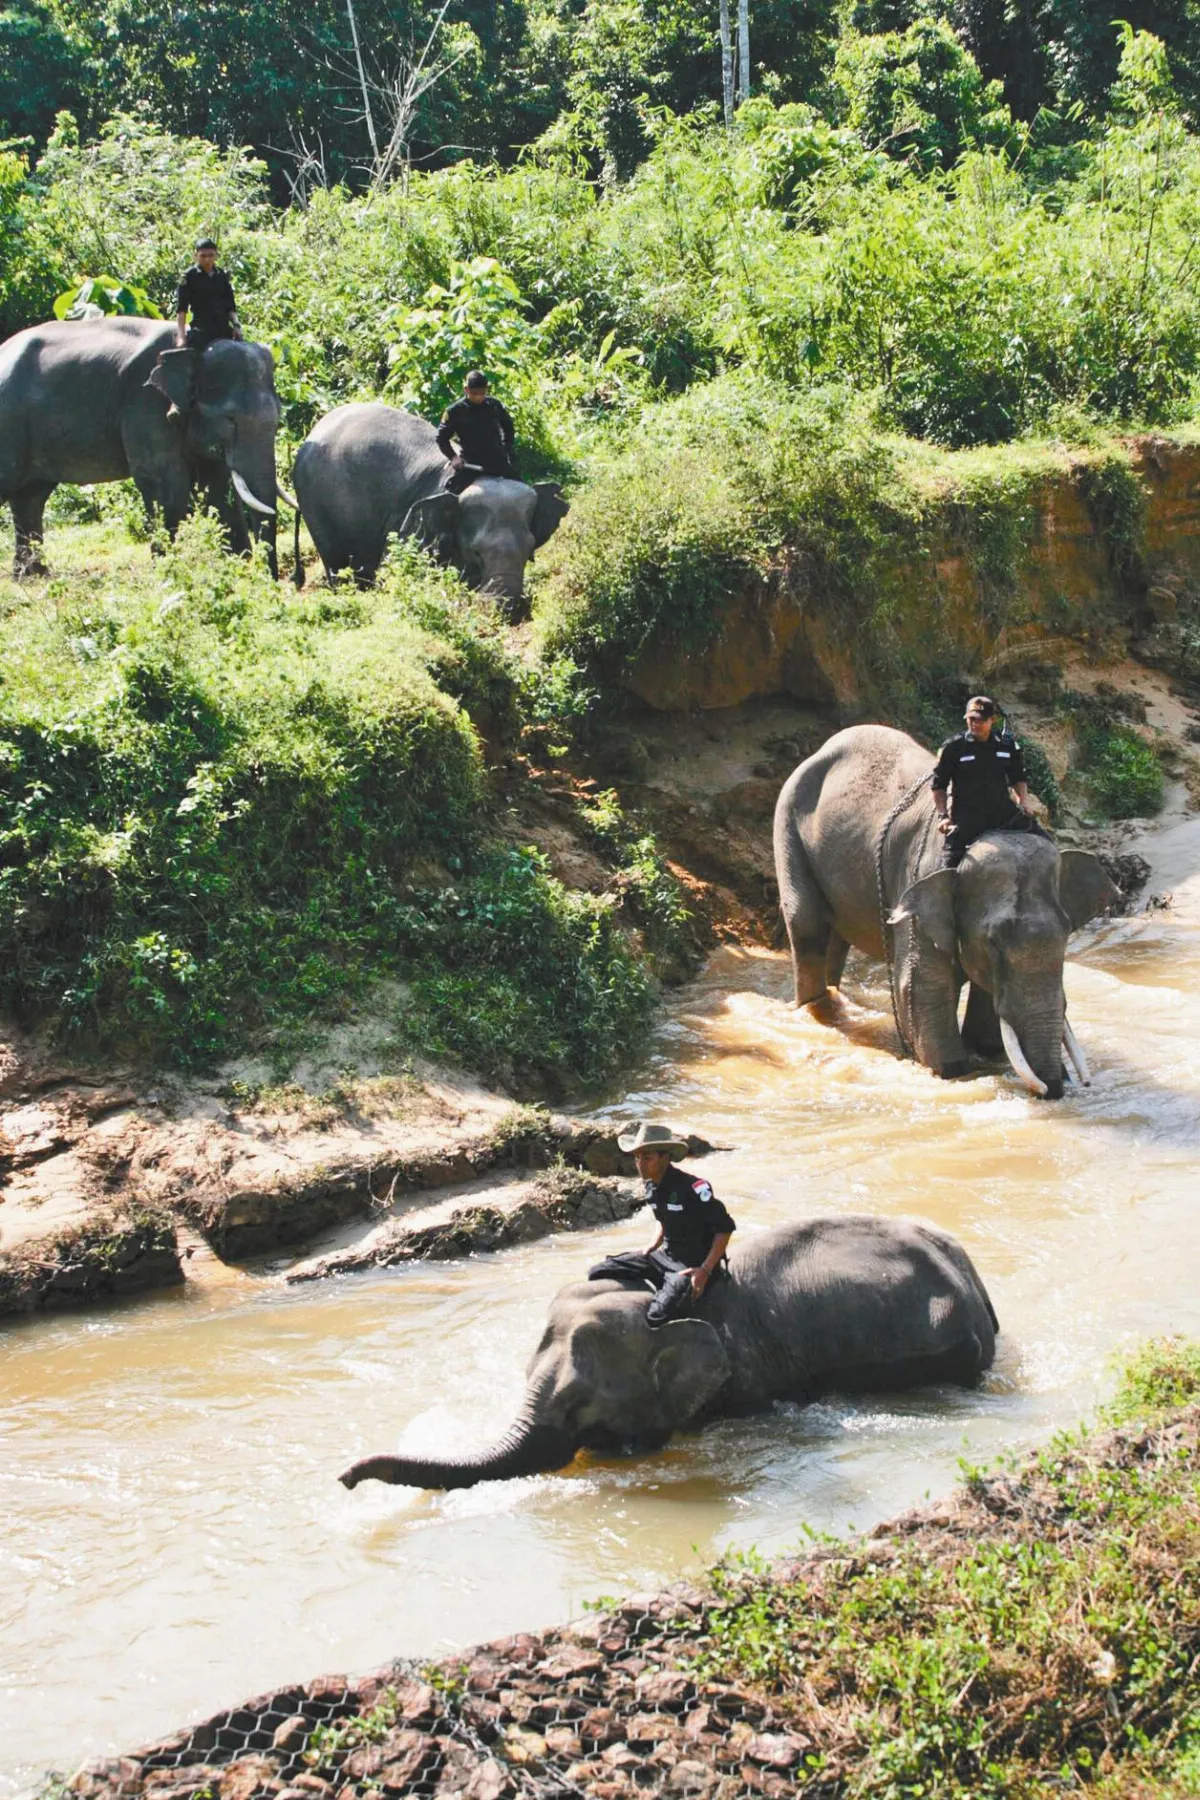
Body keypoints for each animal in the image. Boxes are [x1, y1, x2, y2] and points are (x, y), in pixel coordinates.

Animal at [0, 317, 292, 577]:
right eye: (230, 420)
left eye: (279, 414)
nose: (275, 579)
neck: (191, 349)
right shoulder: (145, 405)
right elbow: (168, 486)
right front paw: (166, 571)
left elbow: (217, 488)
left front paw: (237, 564)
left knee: (30, 497)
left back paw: (31, 575)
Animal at [773, 724, 1119, 1097]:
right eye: (993, 942)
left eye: (1068, 935)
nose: (1057, 1087)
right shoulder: (918, 885)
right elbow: (921, 987)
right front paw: (954, 1072)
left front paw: (987, 1053)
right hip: (789, 827)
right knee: (808, 930)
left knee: (836, 940)